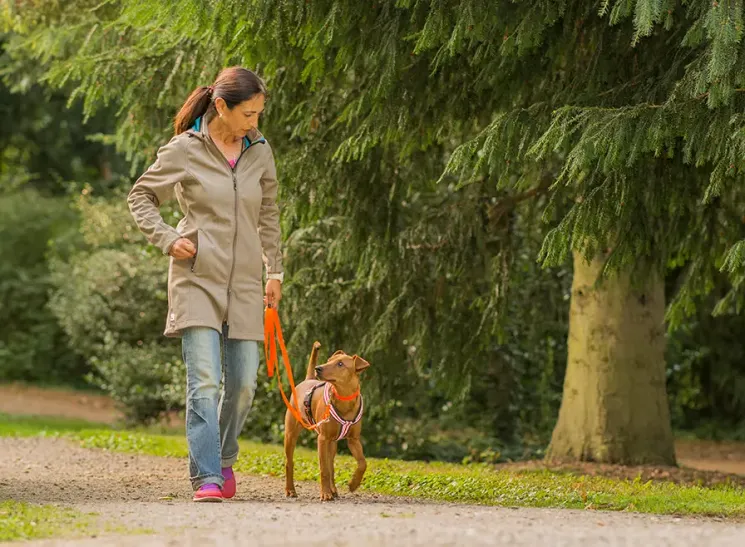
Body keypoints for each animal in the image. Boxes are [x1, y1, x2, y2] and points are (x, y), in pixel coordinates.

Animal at [282, 342, 370, 500]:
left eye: (340, 364)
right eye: (329, 360)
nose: (318, 368)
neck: (343, 397)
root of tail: (308, 379)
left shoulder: (353, 439)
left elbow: (362, 463)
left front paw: (353, 484)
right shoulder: (322, 439)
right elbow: (323, 469)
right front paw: (325, 493)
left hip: (332, 443)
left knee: (331, 466)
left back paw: (333, 489)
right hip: (291, 434)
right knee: (289, 462)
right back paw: (291, 490)